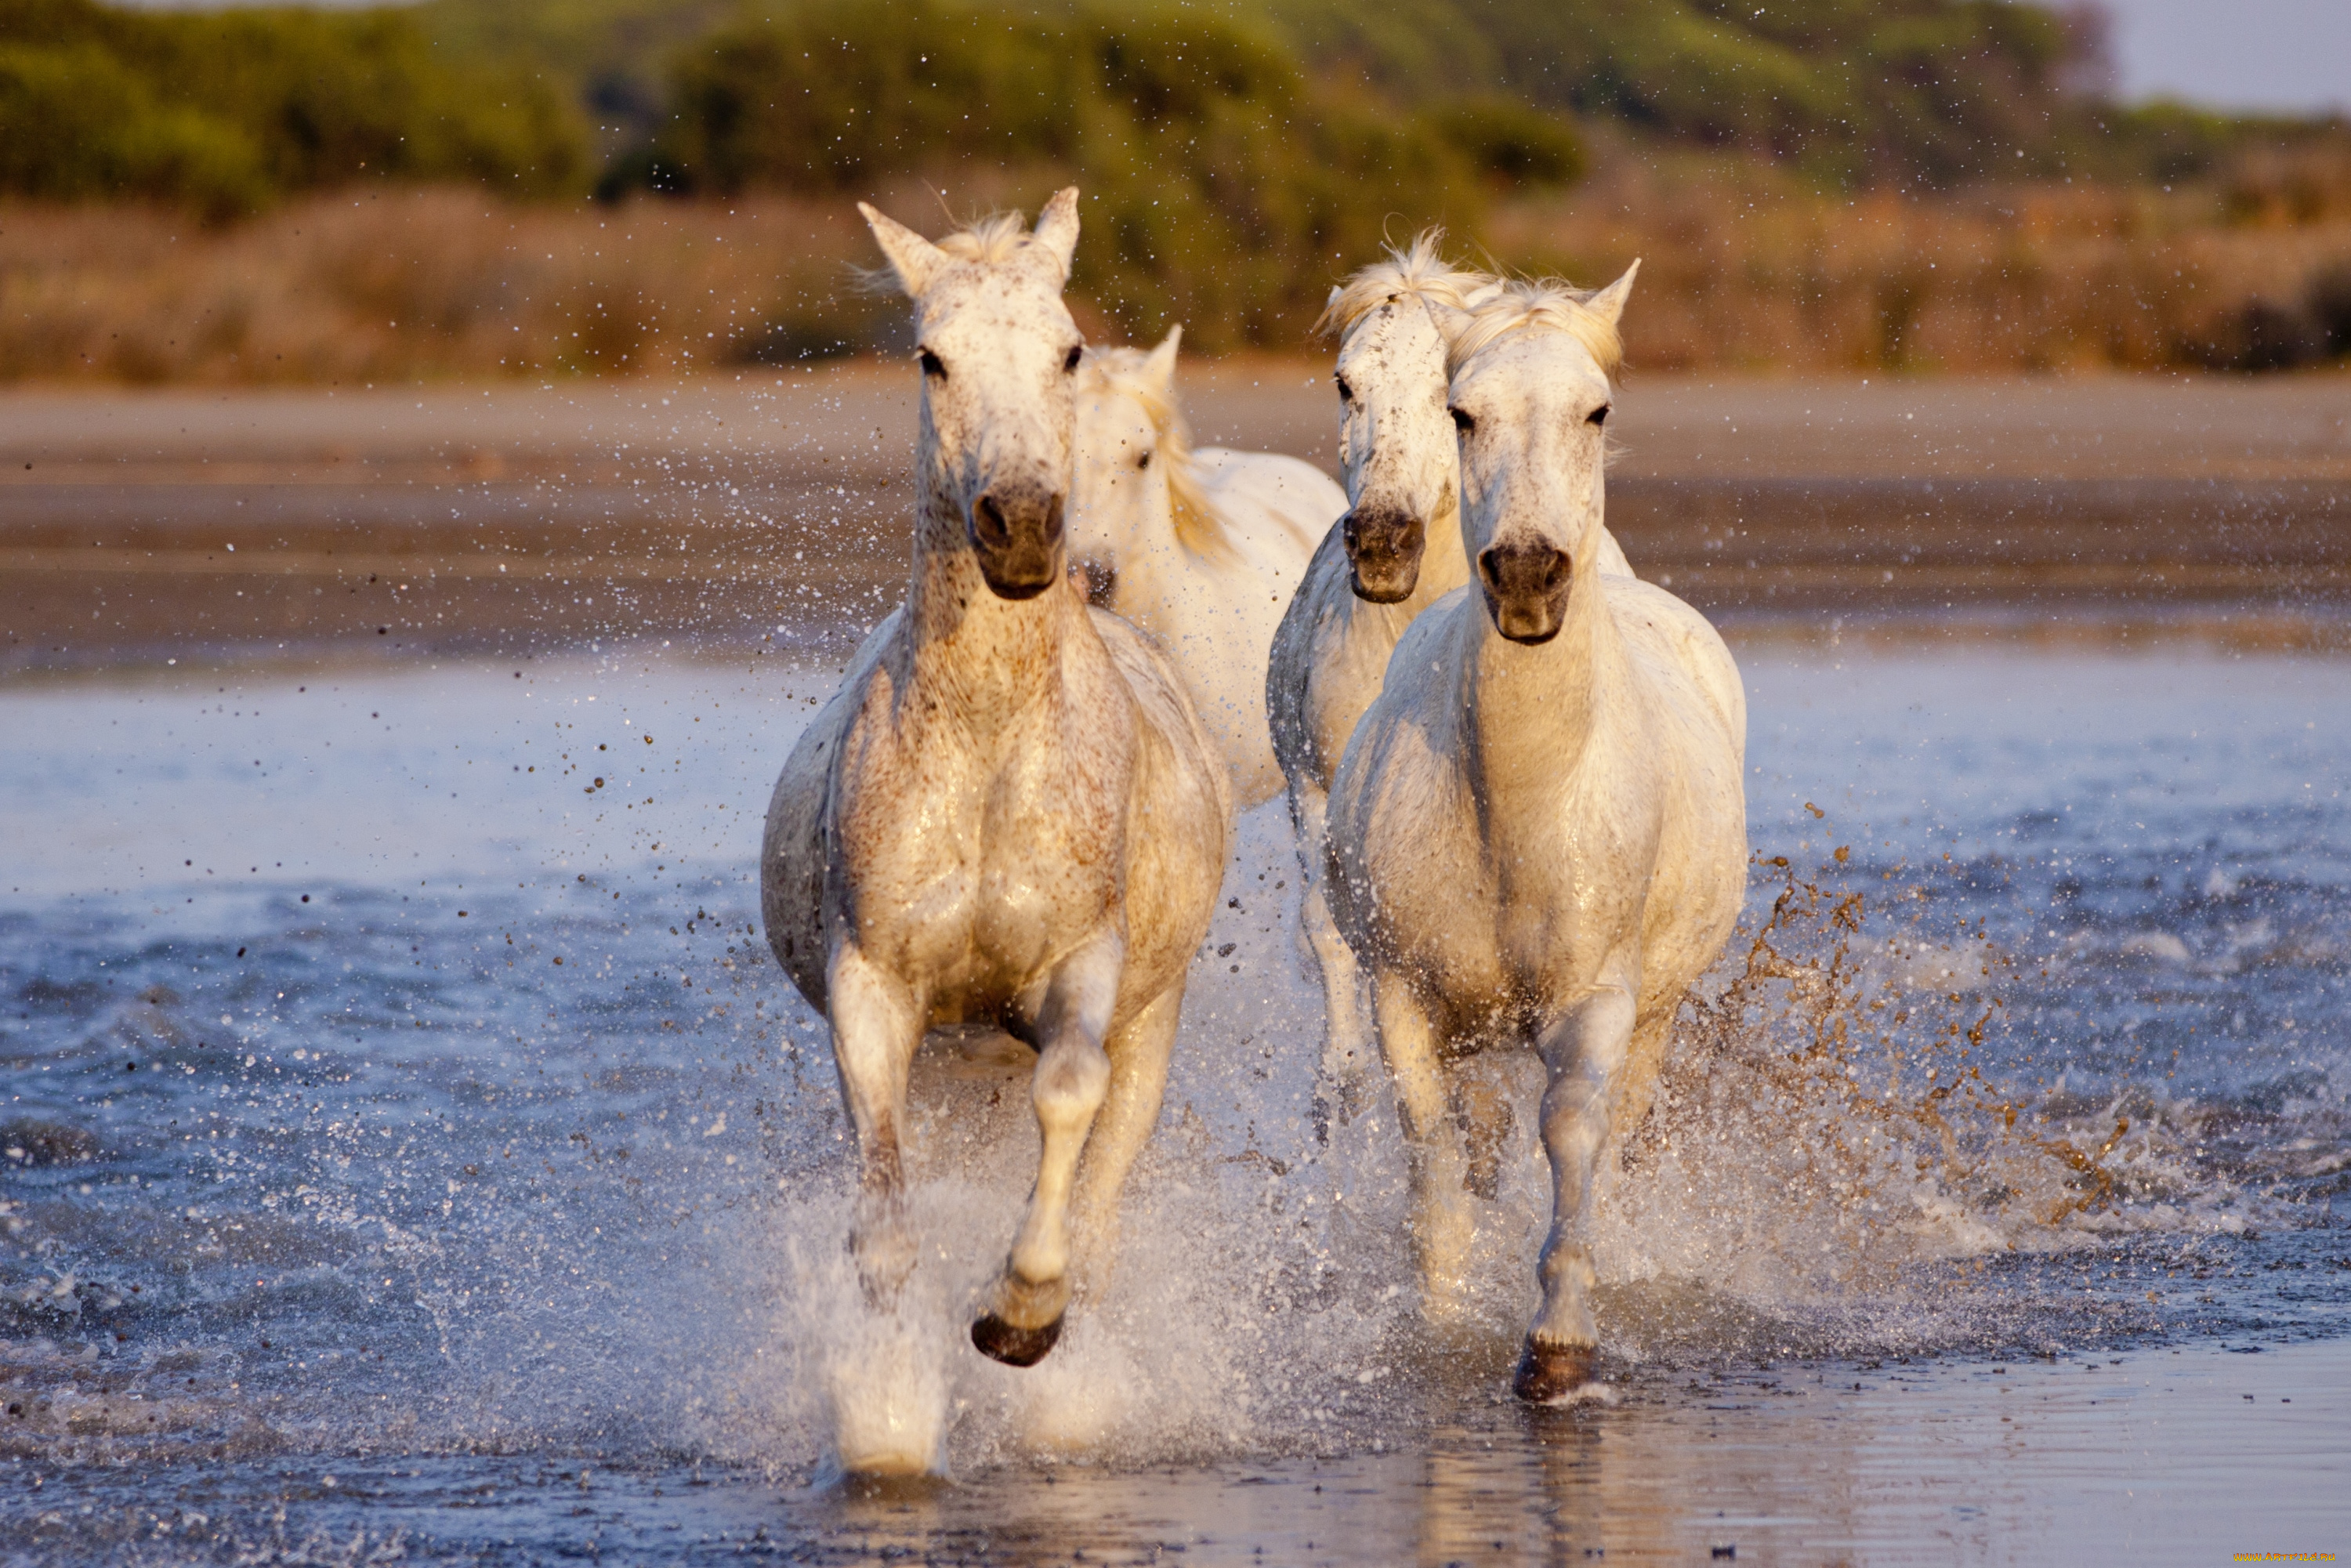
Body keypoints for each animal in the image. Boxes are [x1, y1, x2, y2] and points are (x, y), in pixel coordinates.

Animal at [757, 186, 1241, 1439]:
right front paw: (889, 1402)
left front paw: (1020, 1314)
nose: (1019, 525)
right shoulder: (873, 989)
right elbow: (882, 1222)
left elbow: (1067, 1100)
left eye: (1068, 350)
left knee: (1107, 1194)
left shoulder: (1084, 968)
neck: (986, 751)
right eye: (932, 358)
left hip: (1151, 1027)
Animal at [1270, 236, 1636, 1128]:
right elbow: (1331, 934)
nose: (1381, 543)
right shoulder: (1317, 792)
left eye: (1446, 397)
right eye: (1345, 383)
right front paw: (1339, 1086)